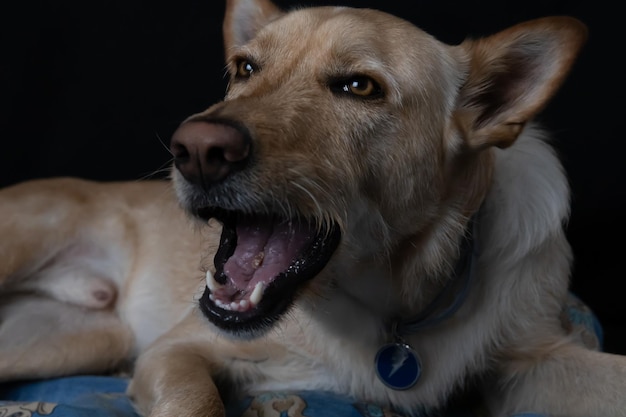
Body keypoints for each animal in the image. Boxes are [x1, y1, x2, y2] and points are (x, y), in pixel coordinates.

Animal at [1, 0, 624, 414]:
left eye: (360, 87)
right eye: (245, 68)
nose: (196, 149)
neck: (397, 302)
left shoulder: (538, 357)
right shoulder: (174, 352)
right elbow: (199, 401)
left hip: (71, 341)